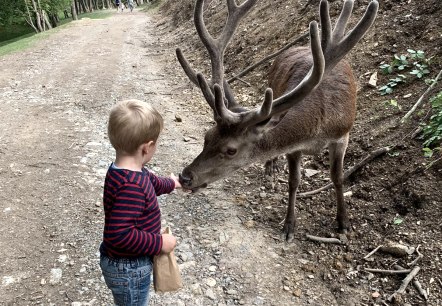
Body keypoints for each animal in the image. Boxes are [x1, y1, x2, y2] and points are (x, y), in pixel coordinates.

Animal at [176, 0, 380, 241]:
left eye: (231, 150)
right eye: (207, 136)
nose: (185, 176)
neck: (316, 129)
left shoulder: (342, 135)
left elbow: (337, 178)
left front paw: (343, 222)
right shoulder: (294, 147)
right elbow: (294, 182)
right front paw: (289, 225)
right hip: (272, 83)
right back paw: (270, 169)